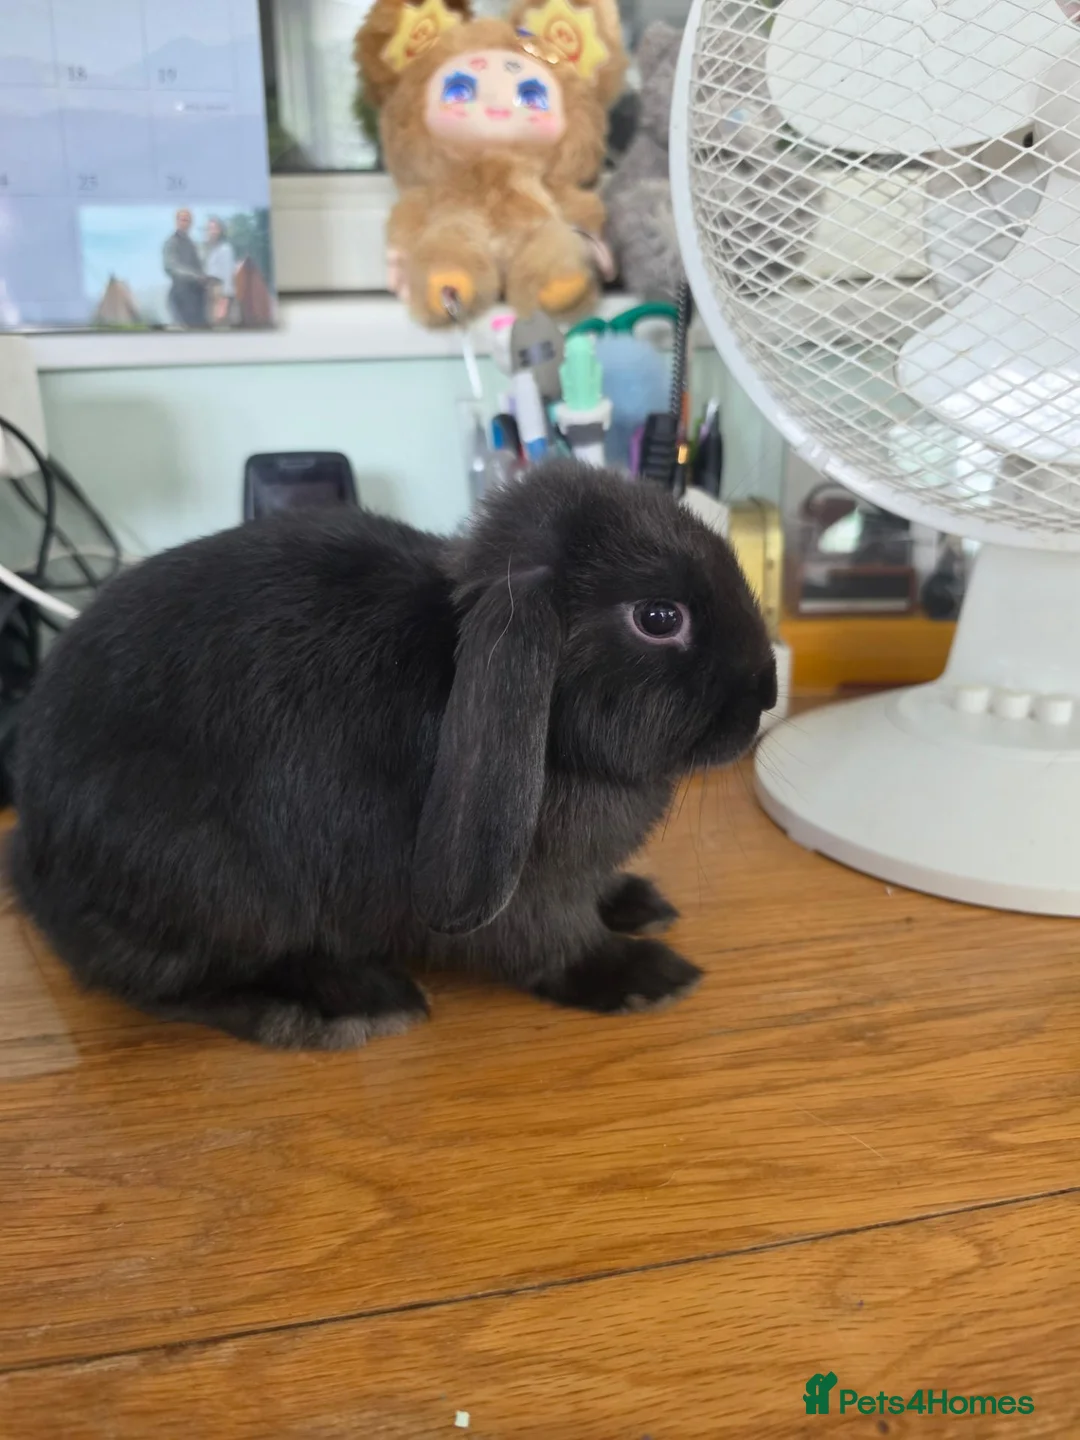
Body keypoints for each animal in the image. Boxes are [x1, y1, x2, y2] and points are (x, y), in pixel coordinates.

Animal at [9, 462, 776, 1050]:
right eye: (659, 618)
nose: (767, 694)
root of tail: (34, 862)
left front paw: (636, 902)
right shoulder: (528, 893)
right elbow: (552, 943)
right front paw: (645, 977)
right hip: (212, 886)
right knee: (167, 984)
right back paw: (344, 1005)